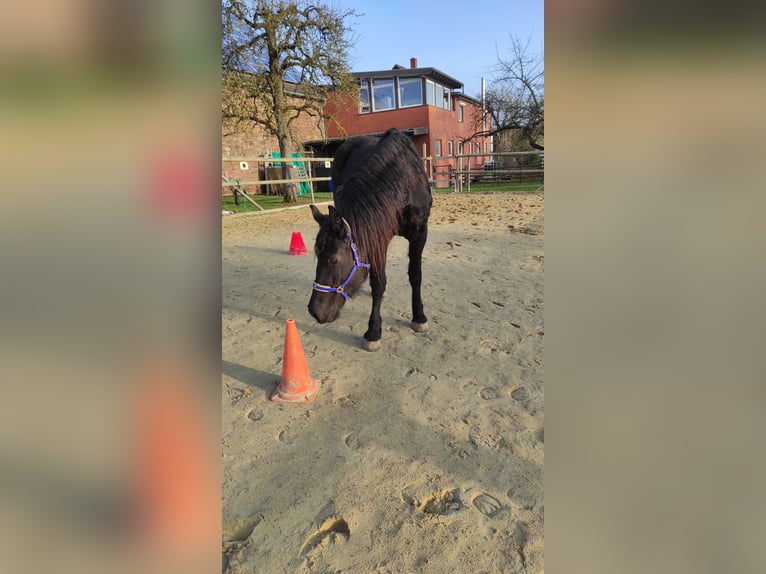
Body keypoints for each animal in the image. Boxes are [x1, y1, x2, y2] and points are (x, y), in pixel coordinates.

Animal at [308, 128, 432, 351]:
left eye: (333, 260)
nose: (314, 311)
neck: (405, 183)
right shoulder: (376, 238)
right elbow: (378, 283)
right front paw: (374, 332)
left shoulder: (420, 233)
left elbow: (415, 275)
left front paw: (419, 317)